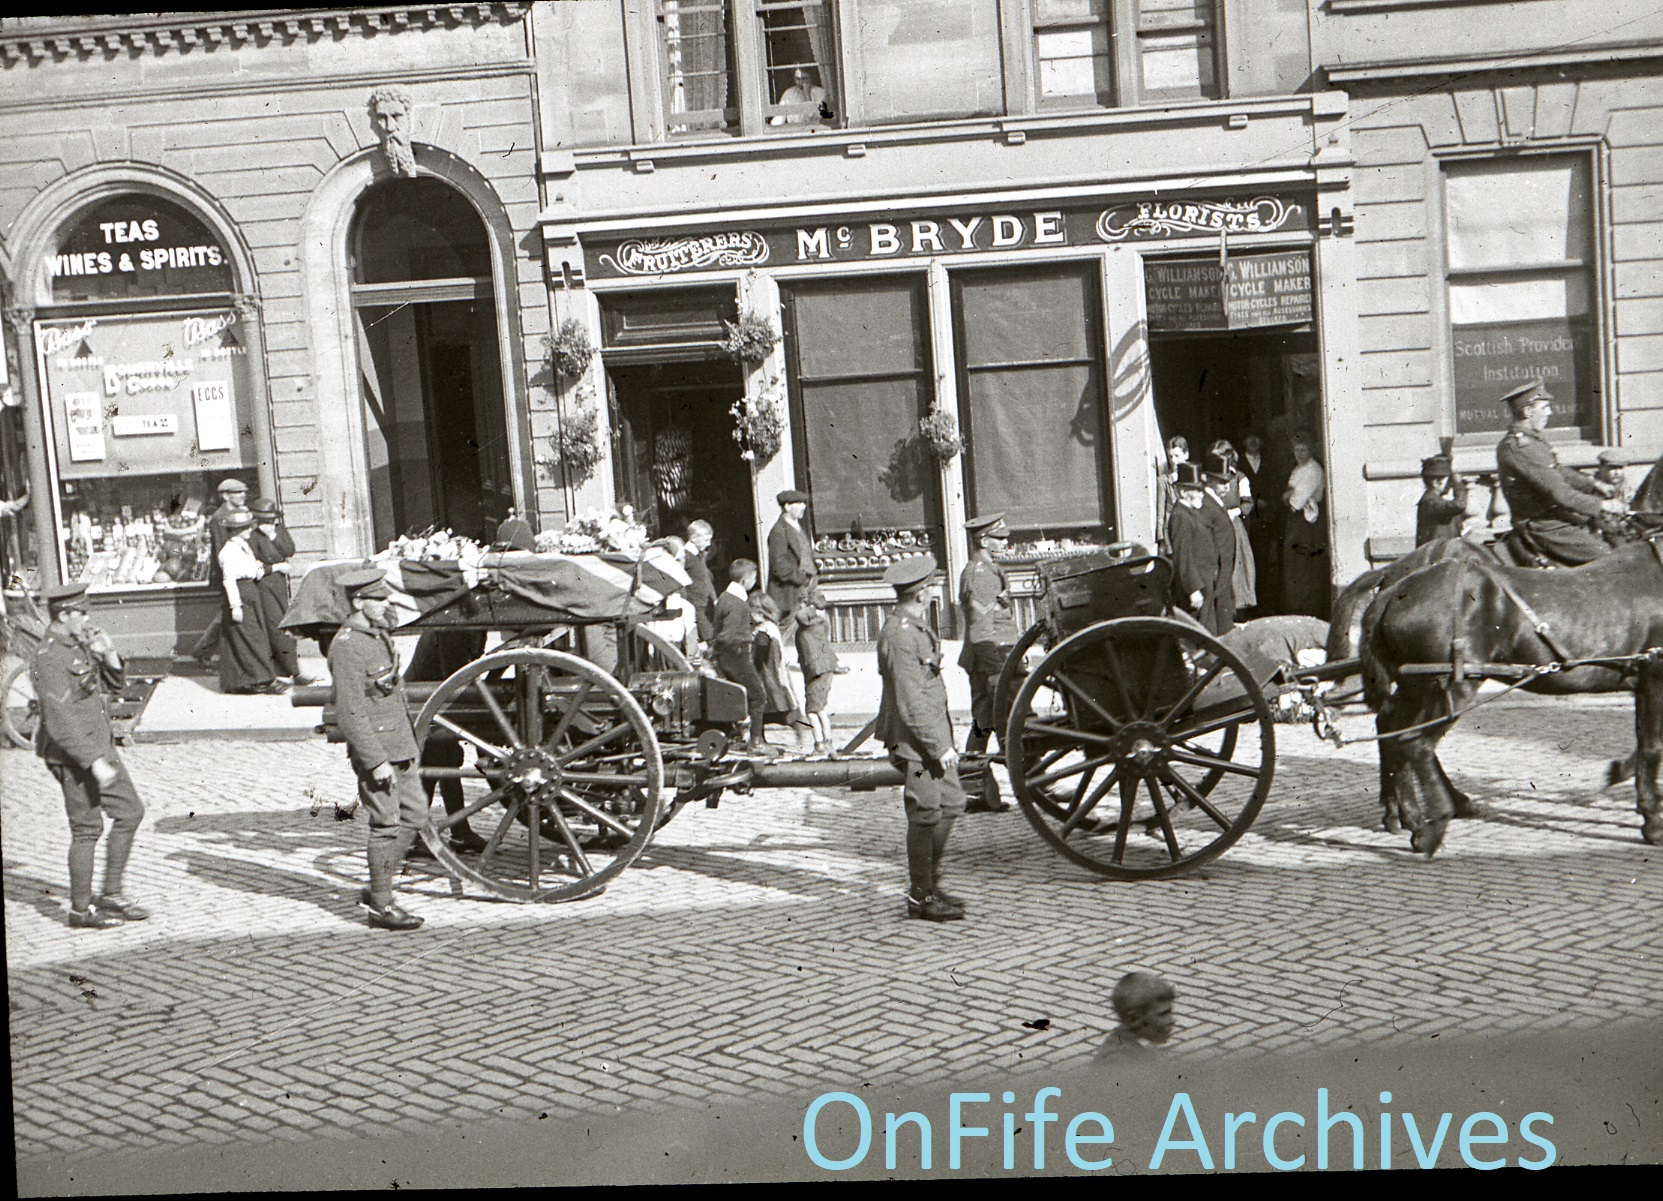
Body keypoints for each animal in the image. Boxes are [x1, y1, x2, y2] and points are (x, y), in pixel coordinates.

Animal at [1357, 538, 1663, 858]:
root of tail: (1393, 592)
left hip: (1416, 687)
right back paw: (1433, 826)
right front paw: (1652, 820)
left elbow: (1645, 745)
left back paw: (1409, 817)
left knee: (1392, 731)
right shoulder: (1654, 673)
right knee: (1416, 744)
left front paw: (1625, 780)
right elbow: (1652, 748)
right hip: (1449, 687)